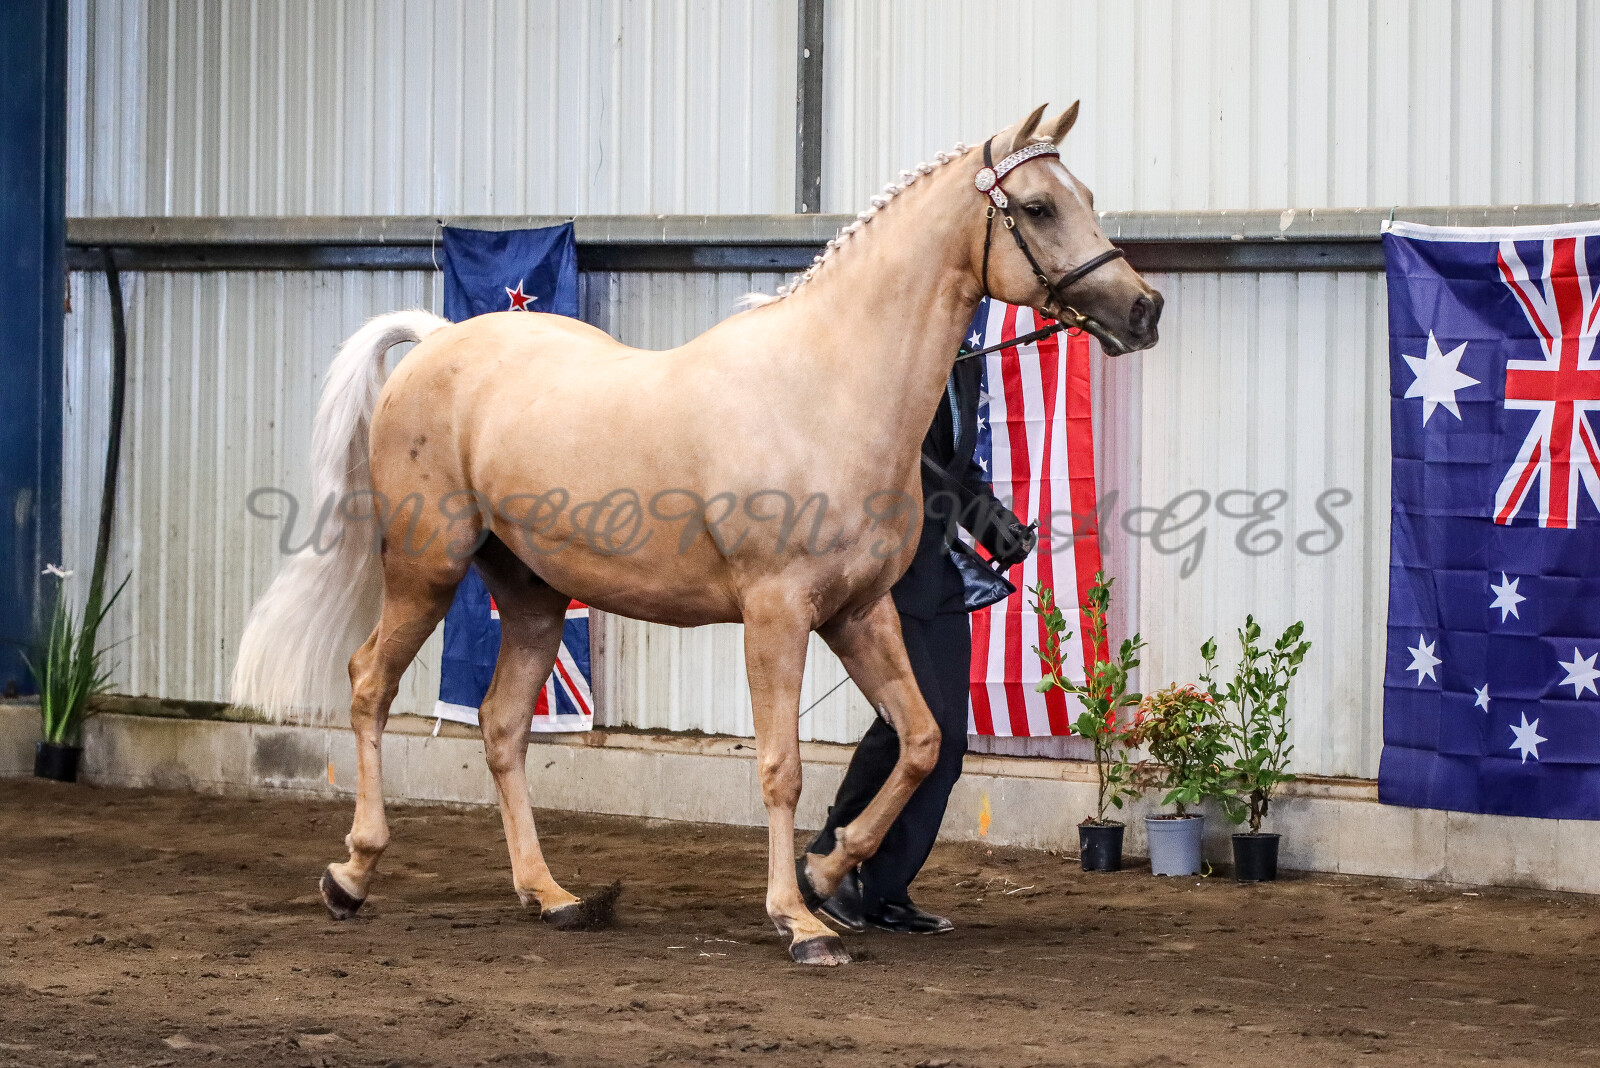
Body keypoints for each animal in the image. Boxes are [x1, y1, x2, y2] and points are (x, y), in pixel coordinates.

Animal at [231, 103, 1162, 966]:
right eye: (1038, 206)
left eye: (1084, 197)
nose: (1143, 308)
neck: (825, 388)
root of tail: (435, 342)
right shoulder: (777, 616)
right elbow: (783, 768)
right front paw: (798, 922)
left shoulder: (859, 614)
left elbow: (923, 741)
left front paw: (828, 876)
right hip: (427, 568)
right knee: (369, 685)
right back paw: (352, 874)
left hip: (530, 592)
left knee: (501, 727)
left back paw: (552, 896)